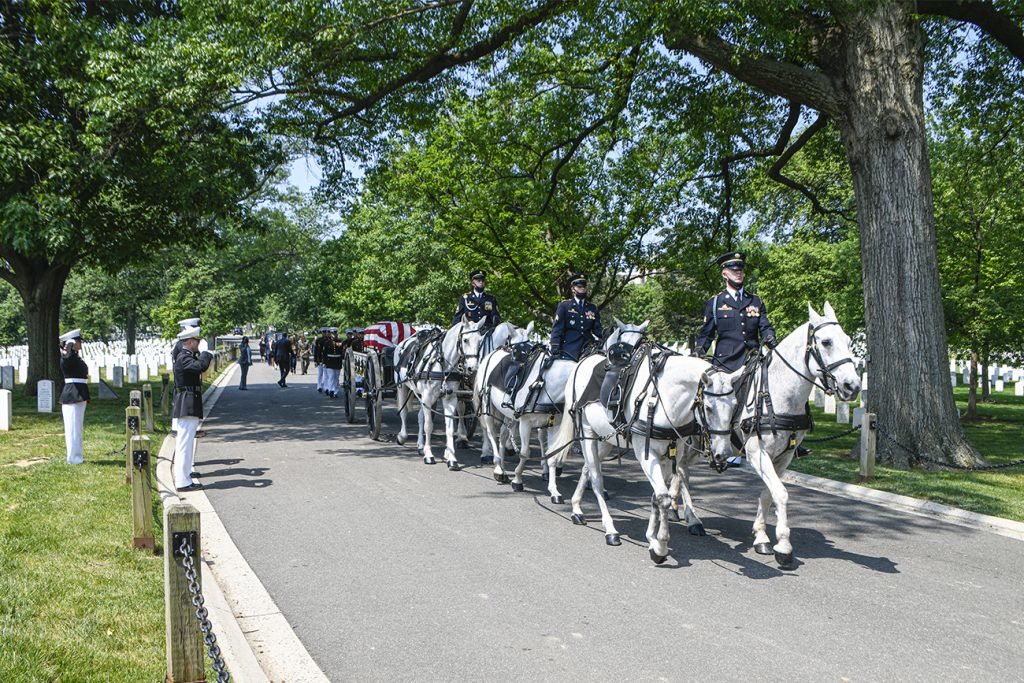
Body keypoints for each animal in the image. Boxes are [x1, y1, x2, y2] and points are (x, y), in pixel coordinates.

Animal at [393, 317, 485, 471]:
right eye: (465, 340)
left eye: (480, 341)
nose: (473, 369)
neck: (442, 363)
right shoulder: (428, 397)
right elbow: (428, 425)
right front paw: (429, 455)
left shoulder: (449, 399)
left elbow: (449, 428)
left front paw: (452, 459)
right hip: (402, 387)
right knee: (404, 412)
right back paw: (402, 436)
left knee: (420, 417)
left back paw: (420, 445)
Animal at [700, 305, 860, 573]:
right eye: (826, 342)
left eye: (849, 341)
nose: (853, 386)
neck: (778, 394)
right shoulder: (757, 453)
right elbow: (782, 493)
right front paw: (784, 547)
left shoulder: (783, 457)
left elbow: (769, 492)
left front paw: (762, 537)